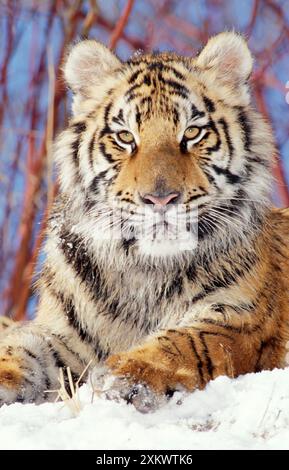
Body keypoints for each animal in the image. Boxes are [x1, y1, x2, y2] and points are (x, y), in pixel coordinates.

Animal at [0, 31, 288, 406]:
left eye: (192, 133)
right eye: (125, 137)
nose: (160, 199)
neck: (144, 271)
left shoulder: (239, 319)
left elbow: (184, 344)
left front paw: (124, 375)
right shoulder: (63, 333)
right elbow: (21, 347)